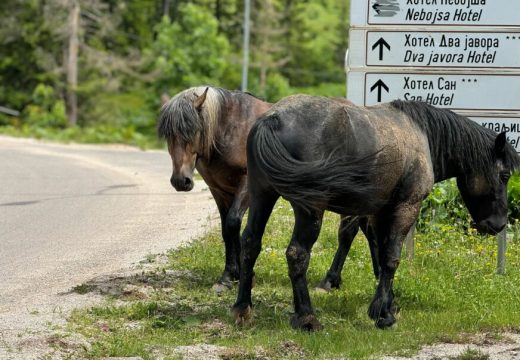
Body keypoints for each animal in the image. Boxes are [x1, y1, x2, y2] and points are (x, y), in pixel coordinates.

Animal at [234, 96, 516, 332]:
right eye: (504, 175)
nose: (499, 224)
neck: (421, 134)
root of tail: (273, 119)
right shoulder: (406, 208)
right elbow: (391, 258)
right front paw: (383, 314)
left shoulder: (380, 213)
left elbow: (381, 256)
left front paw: (388, 304)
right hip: (309, 210)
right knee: (297, 254)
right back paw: (307, 317)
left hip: (261, 196)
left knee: (250, 243)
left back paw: (242, 308)